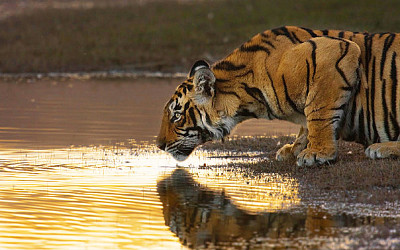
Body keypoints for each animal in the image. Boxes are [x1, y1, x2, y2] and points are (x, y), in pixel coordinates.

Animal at [155, 25, 400, 166]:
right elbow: (306, 124)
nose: (159, 145)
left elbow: (318, 113)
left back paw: (380, 148)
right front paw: (294, 149)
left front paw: (318, 153)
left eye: (176, 116)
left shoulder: (335, 52)